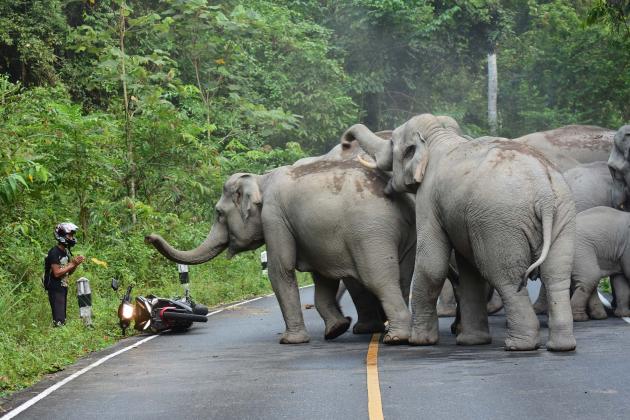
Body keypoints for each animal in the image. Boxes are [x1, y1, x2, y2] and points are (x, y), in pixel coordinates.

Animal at [146, 154, 418, 344]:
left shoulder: (274, 217)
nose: (149, 236)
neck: (260, 180)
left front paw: (290, 341)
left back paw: (395, 337)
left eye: (219, 213)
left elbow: (280, 271)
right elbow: (323, 279)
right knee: (403, 278)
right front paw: (336, 329)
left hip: (370, 232)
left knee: (379, 279)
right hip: (406, 235)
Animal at [344, 113, 580, 352]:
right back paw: (561, 346)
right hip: (563, 215)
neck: (437, 136)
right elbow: (468, 269)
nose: (346, 142)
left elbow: (432, 265)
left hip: (500, 223)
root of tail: (544, 190)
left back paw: (518, 345)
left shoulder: (428, 199)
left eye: (392, 143)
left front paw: (418, 341)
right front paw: (471, 341)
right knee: (556, 275)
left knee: (506, 277)